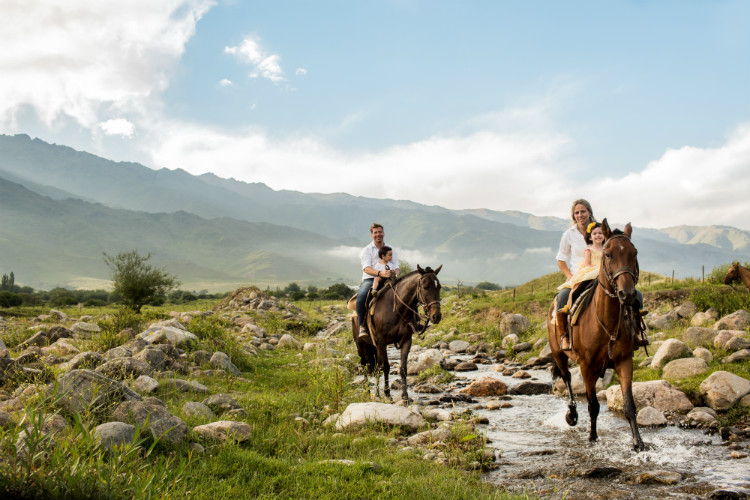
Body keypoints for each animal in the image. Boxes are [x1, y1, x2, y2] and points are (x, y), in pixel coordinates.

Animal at [352, 266, 444, 402]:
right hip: (361, 345)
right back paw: (367, 392)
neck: (396, 308)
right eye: (425, 287)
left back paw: (377, 394)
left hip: (374, 346)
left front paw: (405, 395)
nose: (436, 316)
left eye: (439, 287)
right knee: (364, 364)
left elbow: (403, 368)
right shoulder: (381, 342)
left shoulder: (406, 340)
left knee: (376, 367)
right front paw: (388, 394)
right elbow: (386, 367)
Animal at [548, 221, 648, 452]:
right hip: (560, 355)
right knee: (567, 379)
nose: (627, 294)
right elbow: (593, 405)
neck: (606, 322)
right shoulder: (586, 366)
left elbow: (629, 405)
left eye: (634, 253)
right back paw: (571, 415)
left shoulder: (624, 361)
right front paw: (592, 438)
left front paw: (638, 443)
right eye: (608, 254)